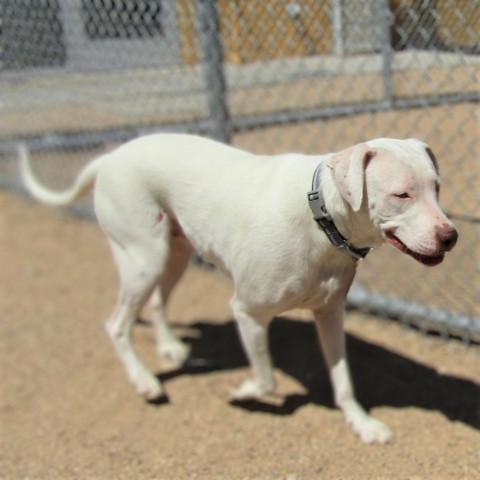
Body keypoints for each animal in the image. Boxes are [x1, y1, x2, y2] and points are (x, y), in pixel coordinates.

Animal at [18, 134, 458, 442]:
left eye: (437, 188)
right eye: (401, 194)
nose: (451, 236)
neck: (320, 217)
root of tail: (110, 157)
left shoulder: (330, 314)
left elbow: (343, 382)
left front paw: (362, 424)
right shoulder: (247, 312)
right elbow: (267, 380)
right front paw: (241, 393)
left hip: (174, 253)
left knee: (157, 303)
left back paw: (169, 347)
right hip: (144, 257)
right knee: (116, 325)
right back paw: (145, 380)